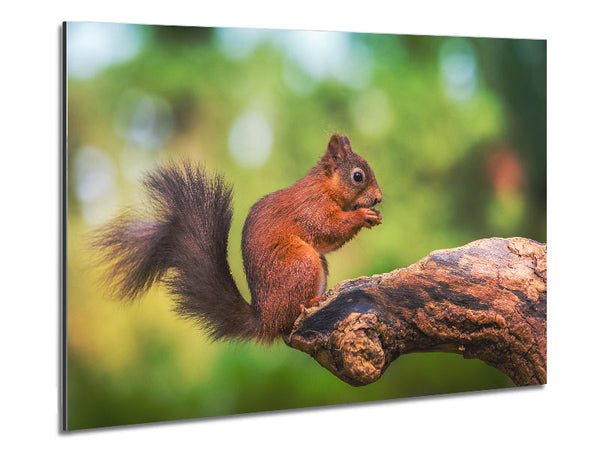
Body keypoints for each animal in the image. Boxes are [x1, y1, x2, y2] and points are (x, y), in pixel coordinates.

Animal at [94, 133, 384, 342]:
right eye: (358, 176)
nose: (379, 198)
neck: (324, 186)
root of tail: (265, 320)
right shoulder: (311, 209)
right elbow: (327, 229)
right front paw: (363, 215)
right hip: (300, 264)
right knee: (289, 320)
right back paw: (311, 303)